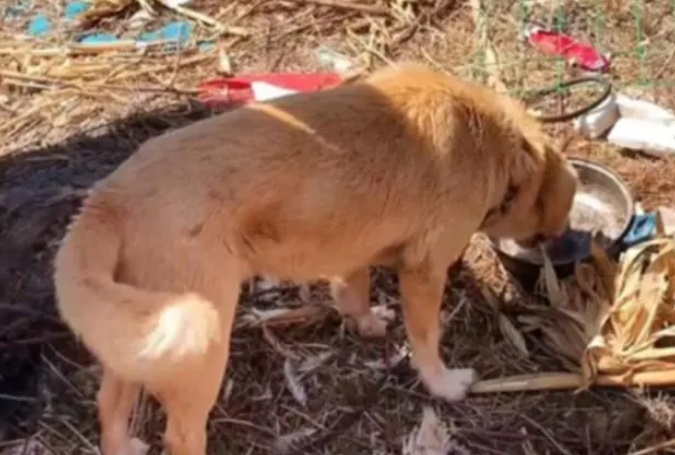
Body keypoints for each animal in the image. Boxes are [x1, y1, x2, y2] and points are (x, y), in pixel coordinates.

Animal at [55, 64, 580, 455]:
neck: (490, 138)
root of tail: (109, 196)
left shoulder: (354, 249)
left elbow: (355, 293)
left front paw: (366, 325)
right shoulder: (425, 271)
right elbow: (426, 339)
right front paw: (444, 385)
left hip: (137, 336)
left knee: (109, 406)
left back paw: (122, 444)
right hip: (201, 346)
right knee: (180, 435)